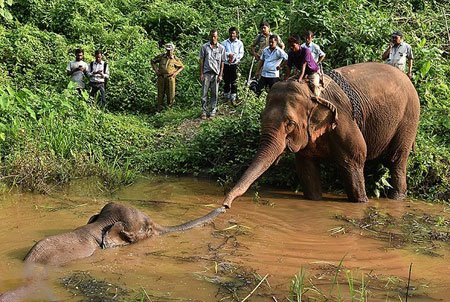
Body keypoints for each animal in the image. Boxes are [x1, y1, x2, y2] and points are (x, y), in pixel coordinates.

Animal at [223, 61, 420, 208]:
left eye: (290, 124)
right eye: (261, 117)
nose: (225, 205)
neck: (310, 93)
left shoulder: (343, 119)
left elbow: (356, 156)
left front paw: (362, 202)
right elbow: (306, 166)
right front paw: (314, 200)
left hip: (409, 118)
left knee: (396, 159)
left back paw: (397, 198)